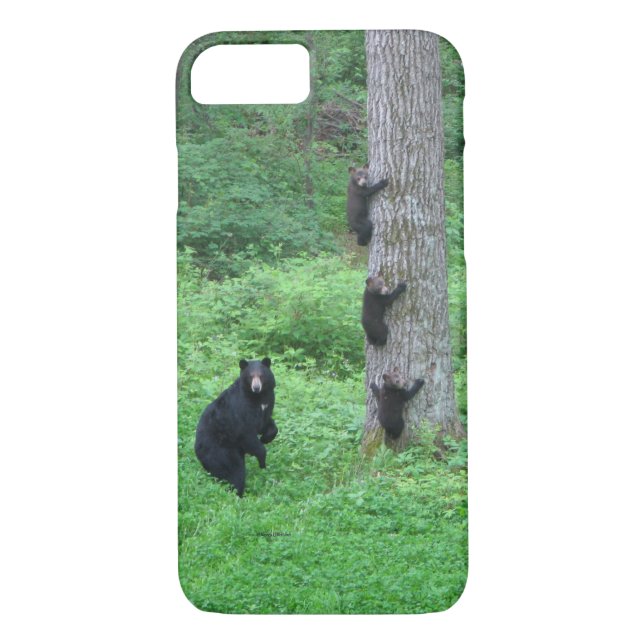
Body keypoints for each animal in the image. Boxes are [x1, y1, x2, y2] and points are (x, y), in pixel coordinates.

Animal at [194, 357, 278, 497]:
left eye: (261, 375)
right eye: (251, 376)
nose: (256, 387)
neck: (257, 397)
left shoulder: (268, 403)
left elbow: (267, 423)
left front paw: (265, 438)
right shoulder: (241, 410)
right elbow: (247, 433)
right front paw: (262, 461)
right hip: (221, 451)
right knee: (234, 472)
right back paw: (238, 494)